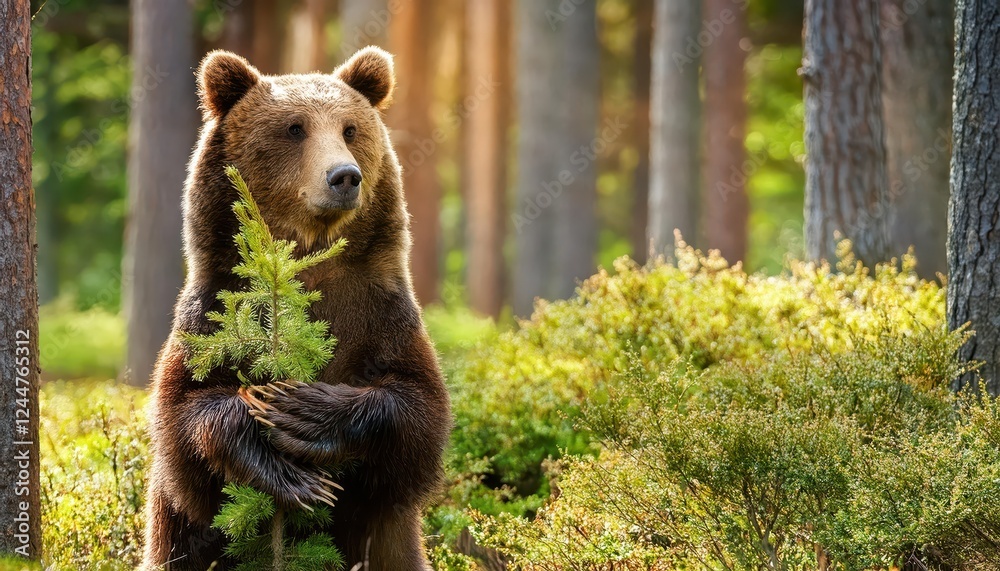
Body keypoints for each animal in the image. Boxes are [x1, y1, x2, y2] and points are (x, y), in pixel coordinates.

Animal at [141, 46, 451, 571]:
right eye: (294, 128)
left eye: (350, 129)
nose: (345, 176)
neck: (305, 262)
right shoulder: (211, 308)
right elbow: (184, 420)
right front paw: (290, 472)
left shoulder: (380, 310)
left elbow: (419, 412)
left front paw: (302, 410)